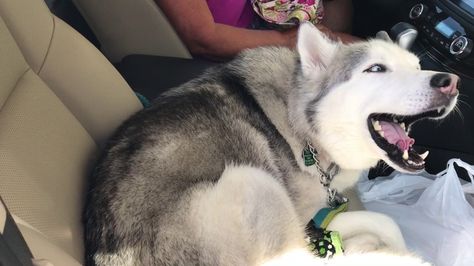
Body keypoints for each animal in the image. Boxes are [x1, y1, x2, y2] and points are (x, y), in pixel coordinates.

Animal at [84, 23, 460, 266]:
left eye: (418, 66)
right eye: (376, 69)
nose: (451, 82)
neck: (305, 126)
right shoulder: (299, 218)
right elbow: (377, 223)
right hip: (251, 180)